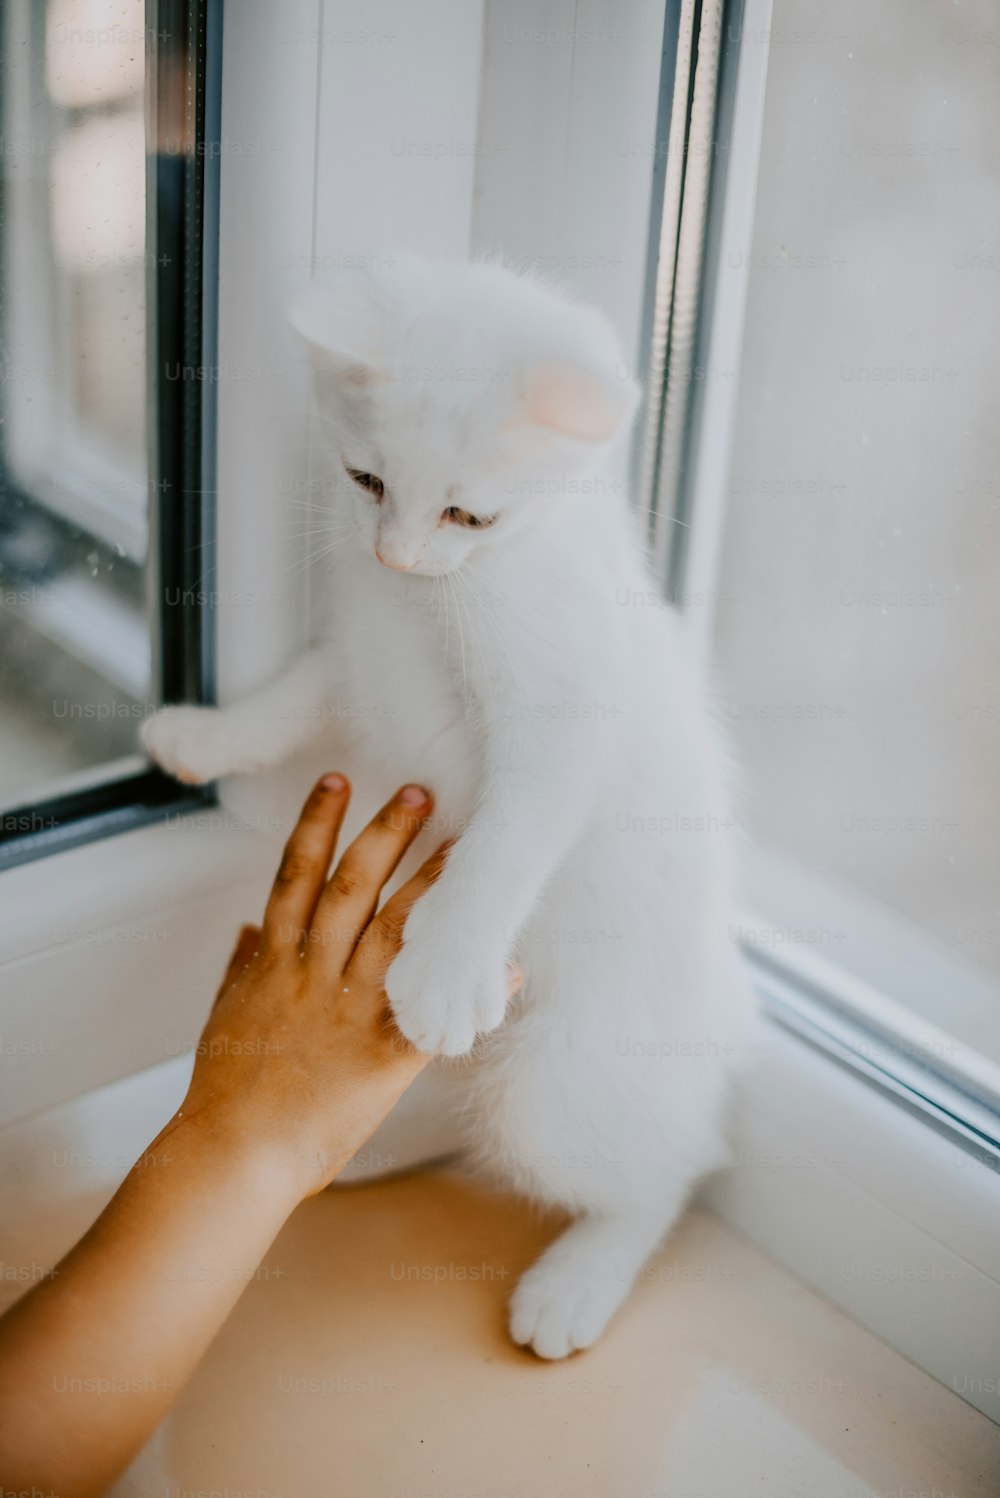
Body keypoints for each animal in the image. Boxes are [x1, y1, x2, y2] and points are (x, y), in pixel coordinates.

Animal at [142, 254, 757, 1360]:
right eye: (366, 481)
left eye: (470, 518)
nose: (394, 556)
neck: (430, 602)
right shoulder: (355, 652)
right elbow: (296, 693)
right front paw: (208, 735)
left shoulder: (558, 723)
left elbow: (507, 841)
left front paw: (449, 957)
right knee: (455, 1111)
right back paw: (360, 1149)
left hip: (557, 1082)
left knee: (667, 1168)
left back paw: (579, 1279)